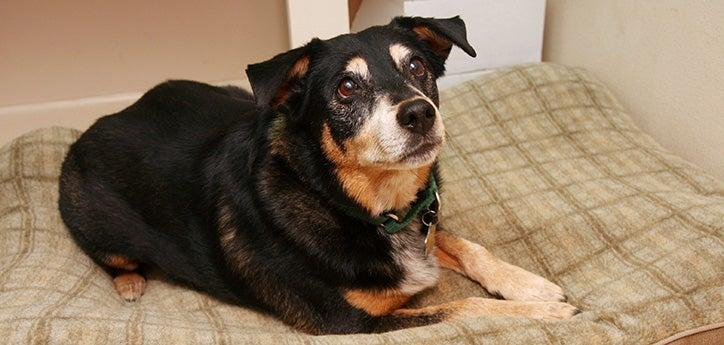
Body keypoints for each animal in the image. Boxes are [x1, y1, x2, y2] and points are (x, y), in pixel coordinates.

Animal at [58, 16, 576, 334]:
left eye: (417, 66)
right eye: (346, 87)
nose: (419, 114)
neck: (358, 204)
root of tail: (105, 120)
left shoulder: (423, 223)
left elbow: (468, 246)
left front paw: (532, 286)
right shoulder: (352, 323)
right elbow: (463, 309)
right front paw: (546, 311)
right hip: (95, 223)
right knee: (112, 258)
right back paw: (130, 283)